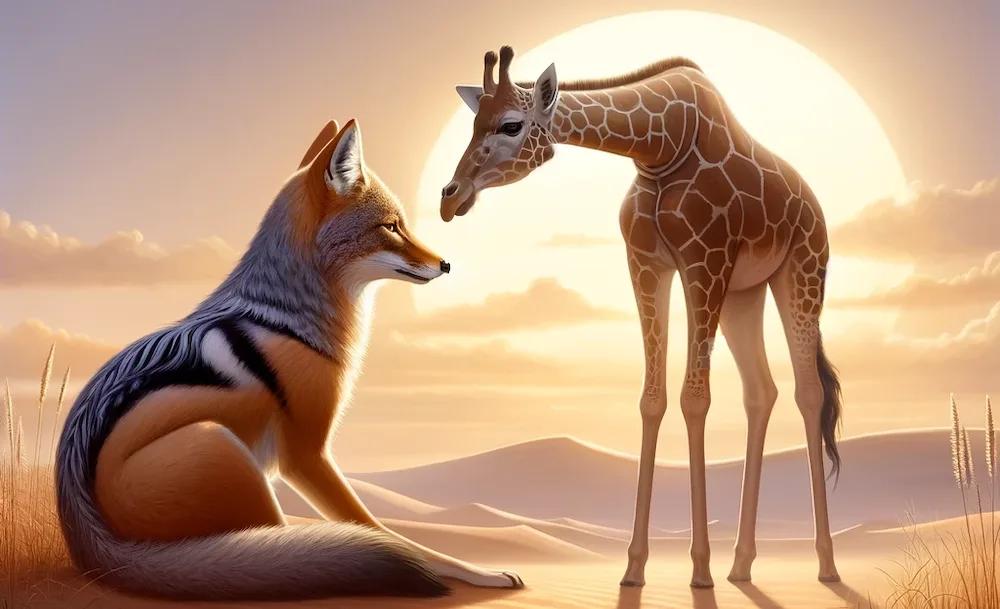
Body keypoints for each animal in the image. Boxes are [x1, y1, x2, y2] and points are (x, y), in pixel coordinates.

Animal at [440, 47, 843, 588]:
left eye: (510, 124)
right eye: (472, 122)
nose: (450, 196)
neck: (658, 146)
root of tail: (816, 206)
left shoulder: (705, 260)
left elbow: (695, 399)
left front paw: (699, 570)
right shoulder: (646, 264)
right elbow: (652, 400)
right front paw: (634, 568)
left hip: (801, 268)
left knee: (809, 392)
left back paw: (825, 564)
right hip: (746, 292)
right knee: (761, 392)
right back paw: (741, 564)